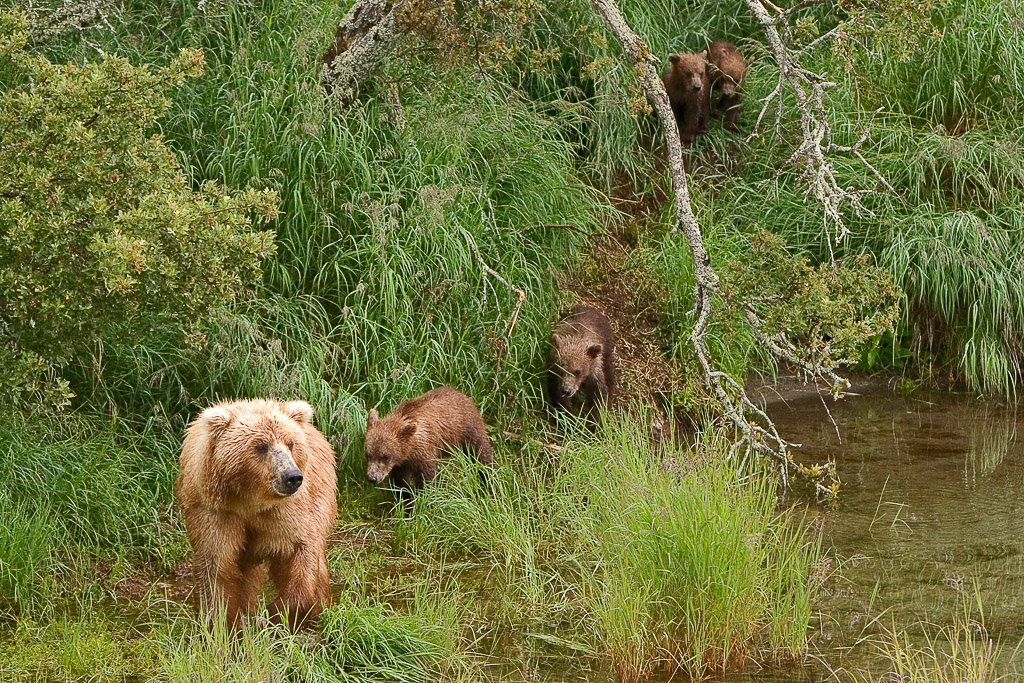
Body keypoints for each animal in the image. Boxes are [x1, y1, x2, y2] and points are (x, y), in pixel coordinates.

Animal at [175, 401, 335, 630]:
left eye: (290, 443)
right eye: (261, 446)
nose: (292, 477)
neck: (250, 502)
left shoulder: (287, 511)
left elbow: (300, 550)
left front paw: (275, 611)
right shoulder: (216, 512)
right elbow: (216, 565)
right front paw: (223, 622)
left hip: (320, 493)